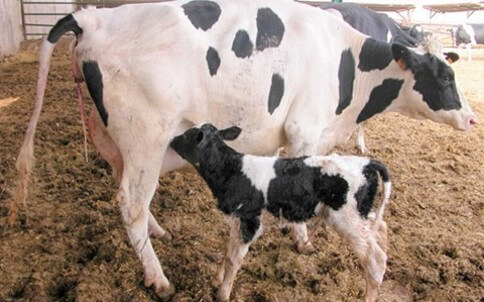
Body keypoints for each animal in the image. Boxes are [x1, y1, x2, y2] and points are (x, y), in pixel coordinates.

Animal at [170, 123, 394, 302]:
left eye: (187, 135)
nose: (172, 139)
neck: (234, 171)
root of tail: (366, 162)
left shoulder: (249, 222)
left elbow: (234, 259)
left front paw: (223, 293)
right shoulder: (237, 221)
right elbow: (228, 252)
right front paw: (217, 279)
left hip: (348, 220)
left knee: (375, 260)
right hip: (359, 214)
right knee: (381, 228)